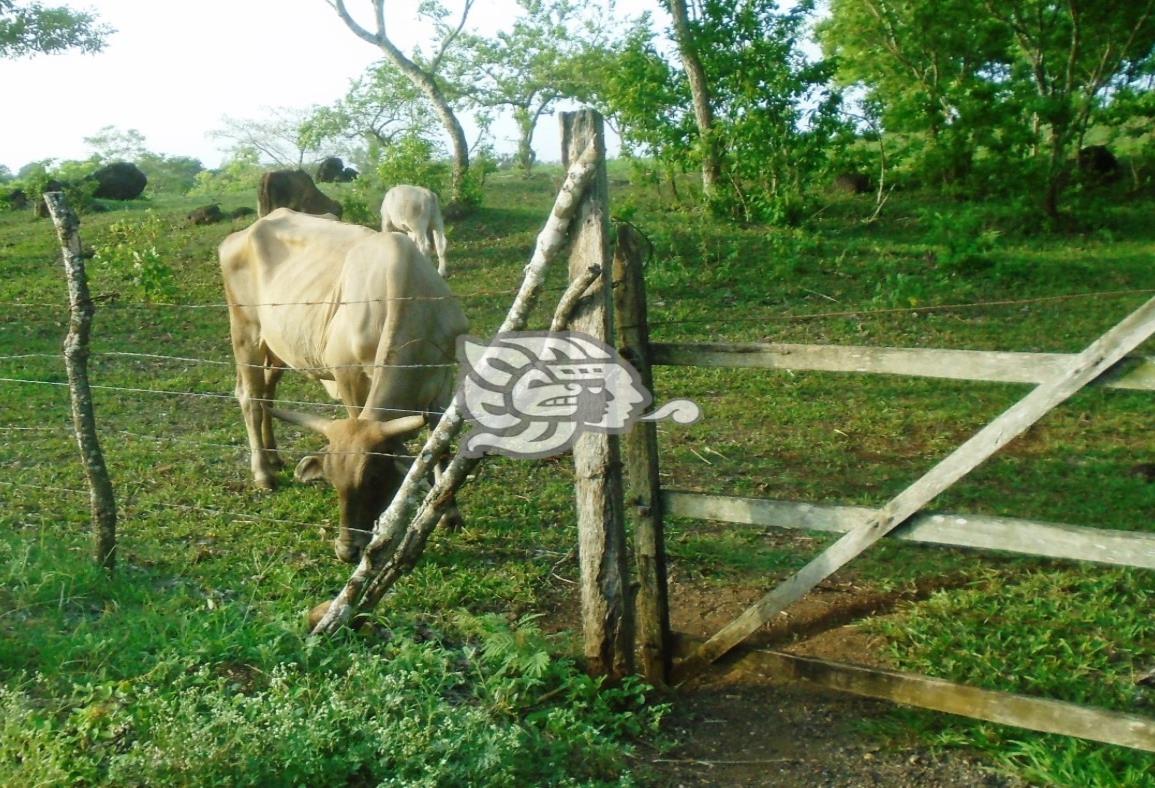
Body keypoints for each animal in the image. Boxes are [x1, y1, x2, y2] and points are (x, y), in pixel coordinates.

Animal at [217, 202, 468, 559]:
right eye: (334, 481)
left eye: (374, 479)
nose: (347, 550)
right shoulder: (348, 376)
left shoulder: (442, 381)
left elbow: (441, 448)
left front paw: (449, 513)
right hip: (245, 331)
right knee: (249, 396)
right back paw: (263, 472)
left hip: (278, 345)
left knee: (266, 392)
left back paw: (274, 456)